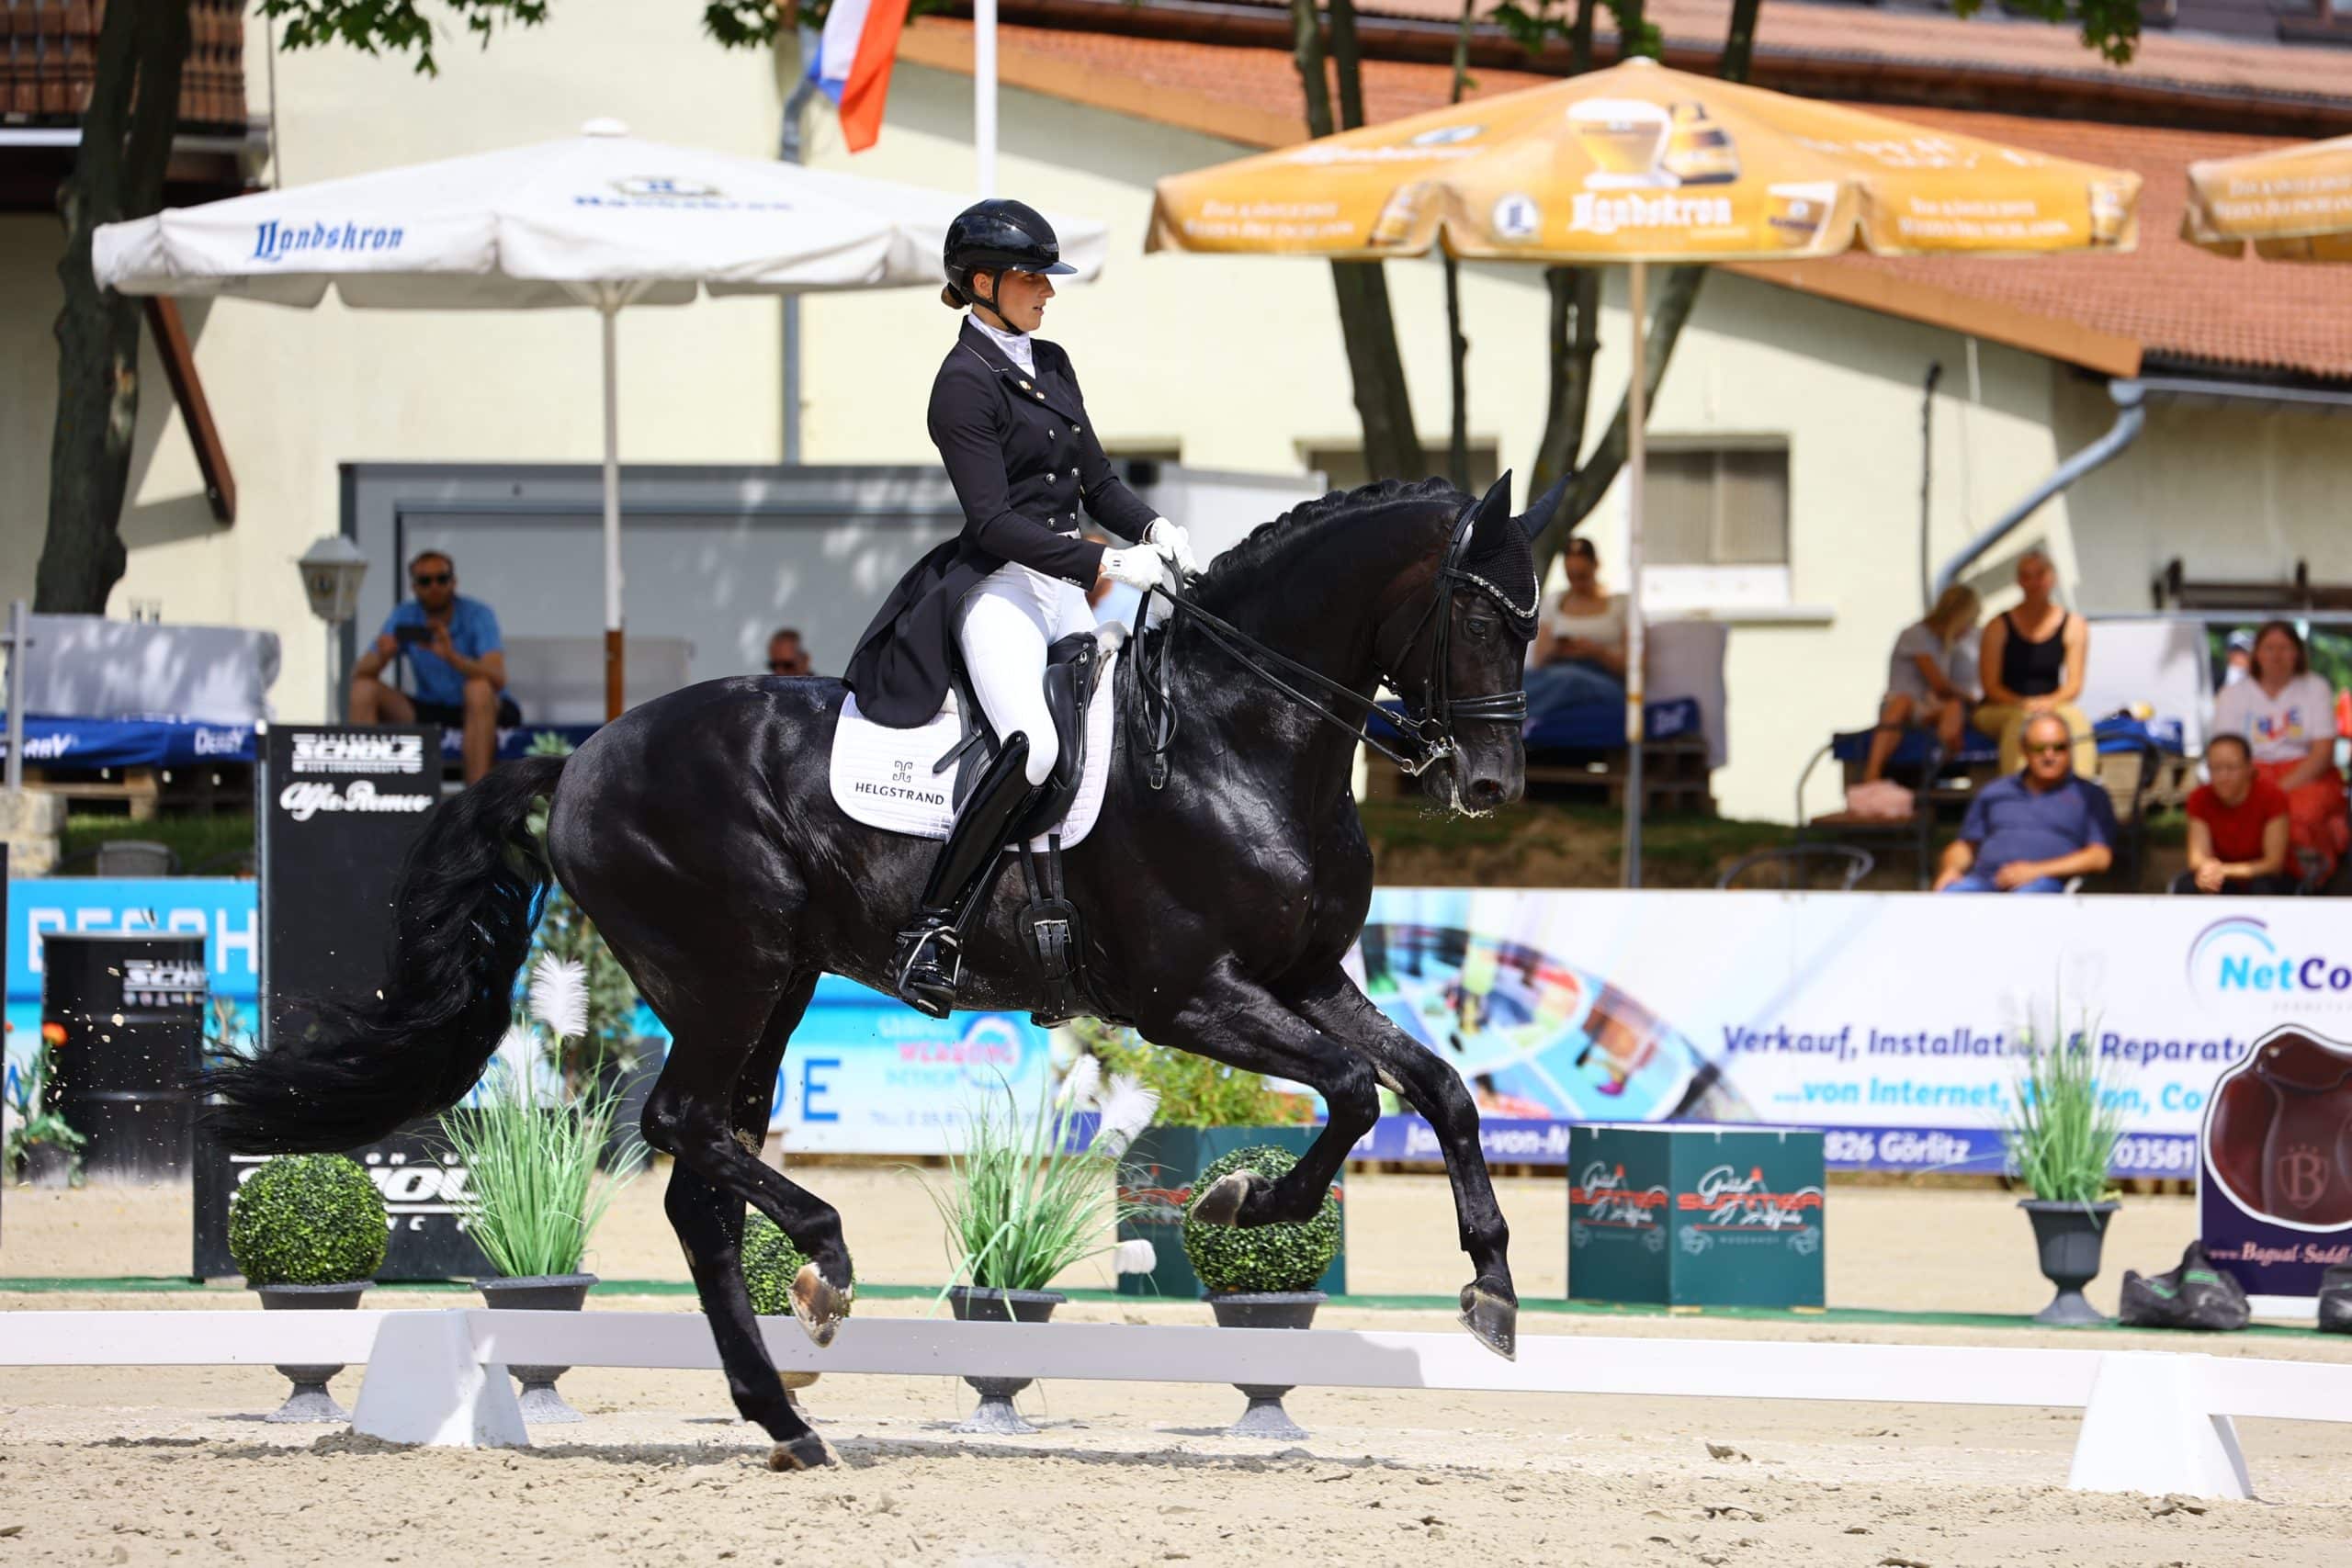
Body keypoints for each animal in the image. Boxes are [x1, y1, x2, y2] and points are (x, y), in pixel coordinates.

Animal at [211, 474, 1552, 1476]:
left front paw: (1490, 1289)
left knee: (699, 1182)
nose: (1489, 785)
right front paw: (1244, 1203)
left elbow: (1437, 1089)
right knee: (678, 1122)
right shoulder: (1188, 996)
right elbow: (1357, 1094)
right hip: (727, 974)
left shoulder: (1305, 977)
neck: (1238, 736)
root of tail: (581, 754)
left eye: (1535, 616)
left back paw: (790, 1417)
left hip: (776, 989)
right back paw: (826, 1264)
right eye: (1480, 612)